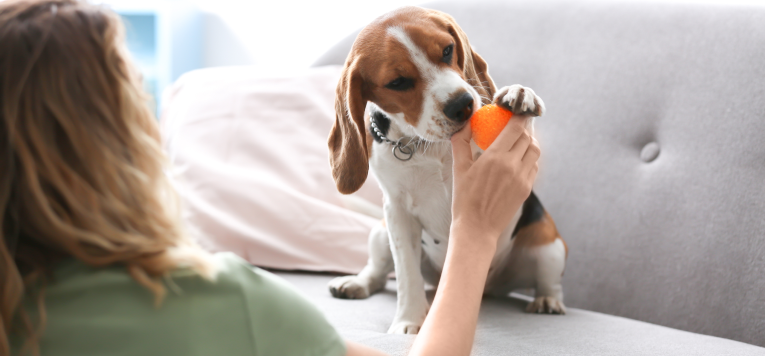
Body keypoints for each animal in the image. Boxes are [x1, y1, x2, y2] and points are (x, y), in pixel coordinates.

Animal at [326, 5, 564, 334]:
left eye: (448, 50)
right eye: (398, 82)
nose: (462, 104)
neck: (429, 145)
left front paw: (519, 95)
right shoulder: (397, 212)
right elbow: (406, 274)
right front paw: (409, 322)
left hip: (549, 245)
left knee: (549, 281)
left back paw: (547, 300)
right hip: (380, 231)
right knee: (378, 271)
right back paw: (357, 283)